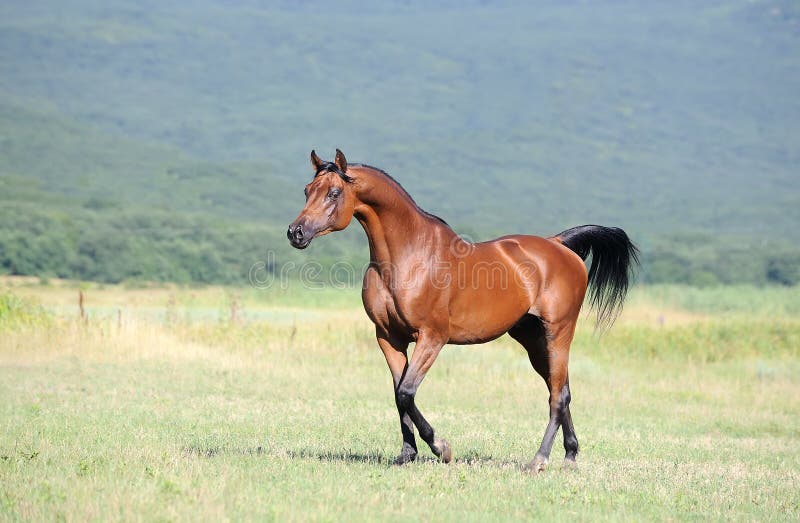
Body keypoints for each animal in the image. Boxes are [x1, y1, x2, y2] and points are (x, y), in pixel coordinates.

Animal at [288, 149, 636, 472]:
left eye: (334, 193)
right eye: (307, 190)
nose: (296, 232)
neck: (409, 257)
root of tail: (559, 244)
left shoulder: (432, 337)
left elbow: (407, 392)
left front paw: (441, 448)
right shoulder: (389, 338)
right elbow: (398, 393)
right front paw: (406, 454)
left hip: (559, 331)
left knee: (557, 396)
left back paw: (539, 460)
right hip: (533, 339)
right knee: (561, 388)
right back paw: (570, 455)